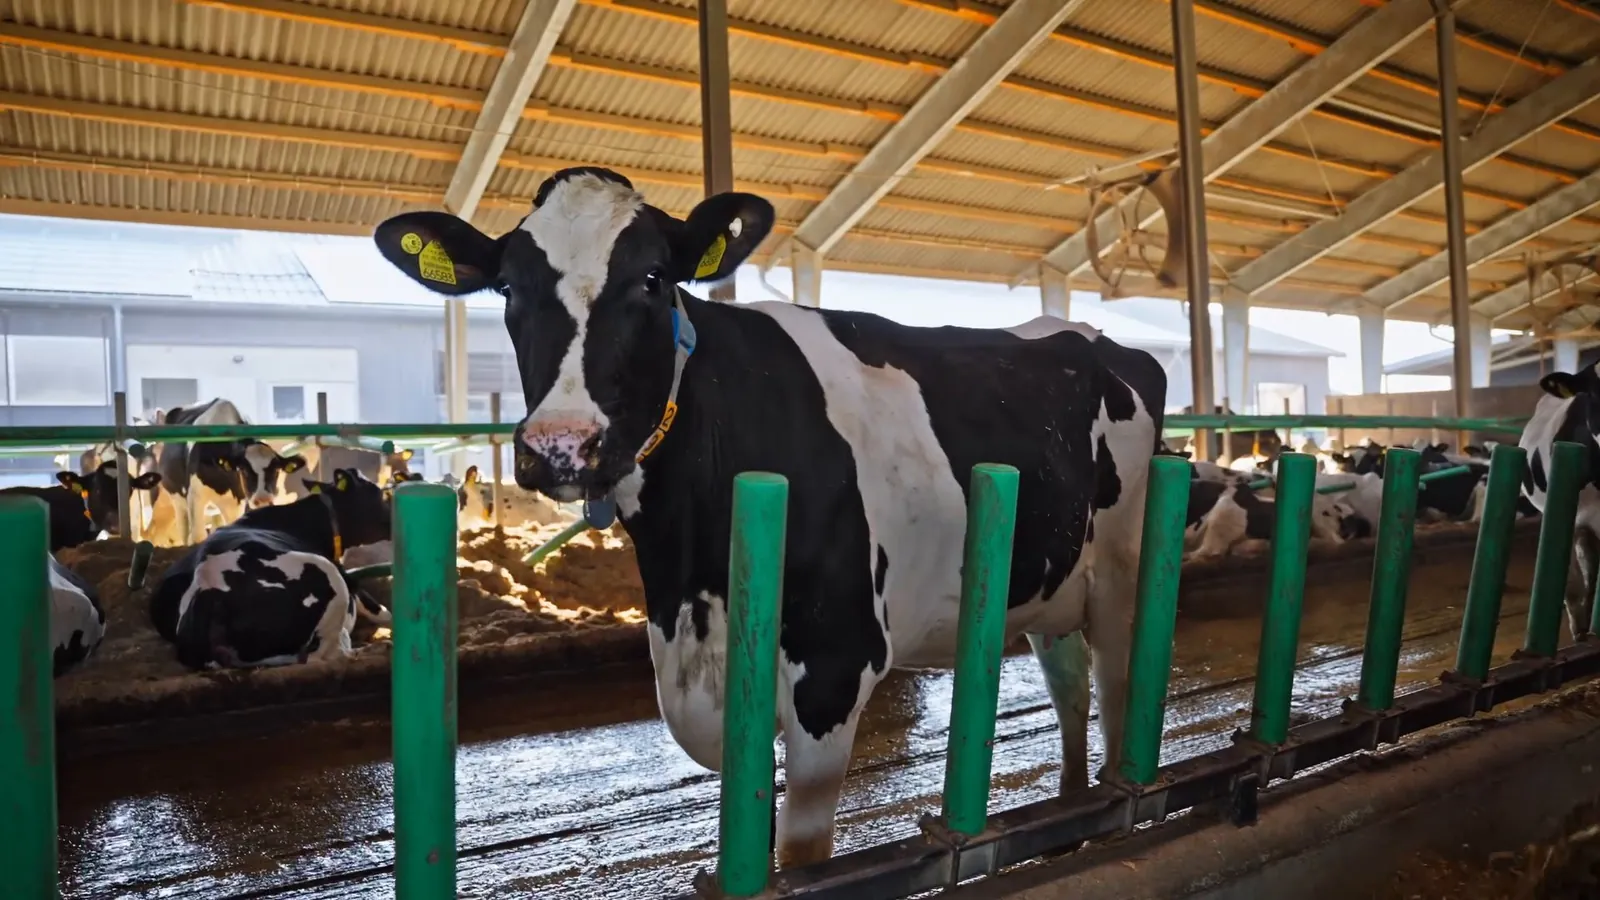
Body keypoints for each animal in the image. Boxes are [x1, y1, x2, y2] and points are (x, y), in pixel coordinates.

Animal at [146, 468, 393, 669]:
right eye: (379, 494)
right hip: (329, 576)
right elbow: (382, 611)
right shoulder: (347, 578)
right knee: (327, 654)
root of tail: (207, 590)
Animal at [153, 399, 307, 543]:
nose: (263, 499)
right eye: (244, 470)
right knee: (184, 532)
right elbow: (198, 536)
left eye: (276, 470)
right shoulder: (195, 496)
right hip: (178, 501)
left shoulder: (237, 503)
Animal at [372, 166, 1167, 867]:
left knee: (1114, 689)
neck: (690, 579)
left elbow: (801, 855)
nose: (561, 444)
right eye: (508, 286)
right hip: (1048, 586)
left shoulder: (834, 665)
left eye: (653, 278)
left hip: (1121, 578)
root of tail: (1083, 333)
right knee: (1070, 691)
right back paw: (1067, 817)